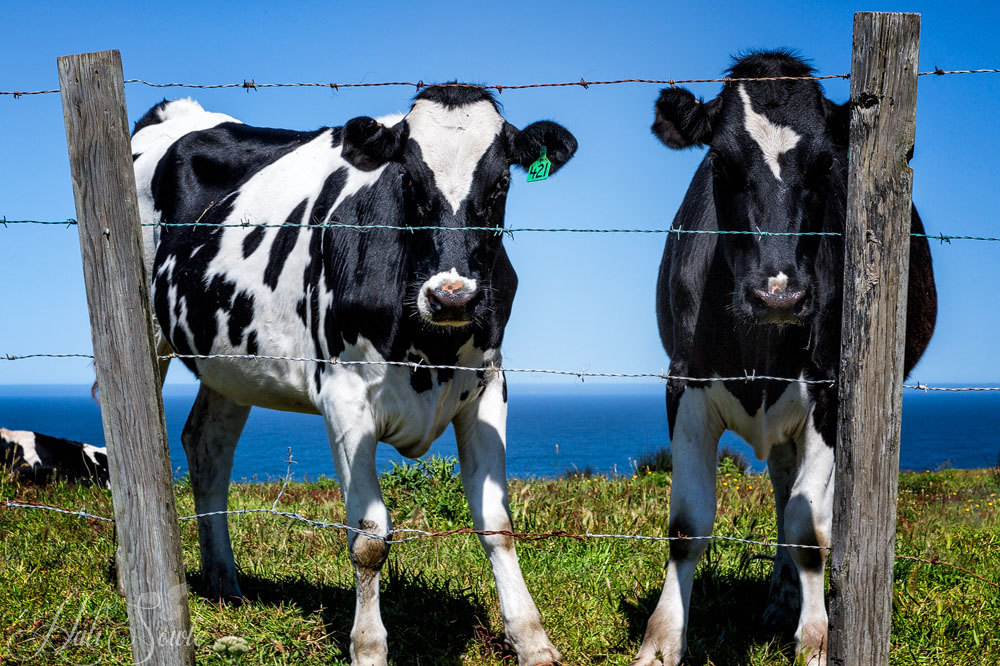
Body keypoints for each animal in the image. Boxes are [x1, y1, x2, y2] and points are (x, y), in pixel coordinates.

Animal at [131, 87, 577, 666]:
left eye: (501, 181)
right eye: (408, 180)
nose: (451, 296)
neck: (430, 349)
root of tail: (177, 110)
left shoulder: (487, 386)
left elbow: (497, 525)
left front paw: (532, 640)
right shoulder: (343, 396)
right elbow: (368, 537)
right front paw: (368, 647)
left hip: (230, 359)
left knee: (207, 447)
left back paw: (225, 583)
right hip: (143, 327)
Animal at [632, 51, 937, 666]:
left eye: (824, 164)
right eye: (720, 160)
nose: (779, 295)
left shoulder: (830, 392)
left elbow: (808, 527)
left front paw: (817, 638)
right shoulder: (684, 382)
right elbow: (688, 522)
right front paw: (661, 639)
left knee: (816, 505)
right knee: (779, 484)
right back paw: (778, 599)